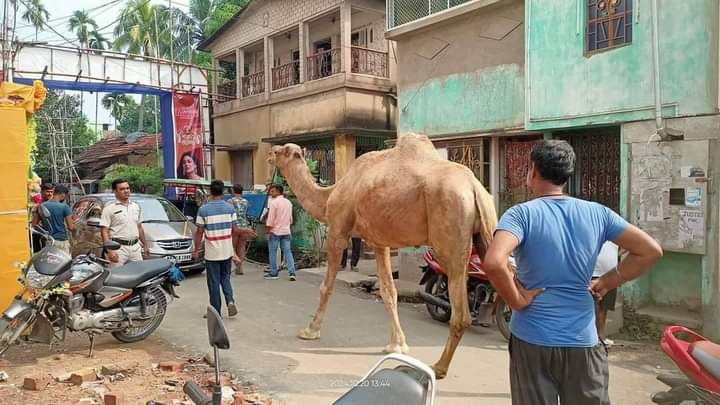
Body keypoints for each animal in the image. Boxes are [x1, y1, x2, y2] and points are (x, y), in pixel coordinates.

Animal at [268, 134, 498, 378]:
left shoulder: (338, 229)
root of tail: (474, 188)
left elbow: (327, 286)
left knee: (461, 312)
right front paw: (397, 345)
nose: (270, 153)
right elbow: (388, 291)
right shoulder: (379, 242)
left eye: (281, 151)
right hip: (486, 232)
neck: (330, 195)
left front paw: (310, 331)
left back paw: (439, 367)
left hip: (451, 231)